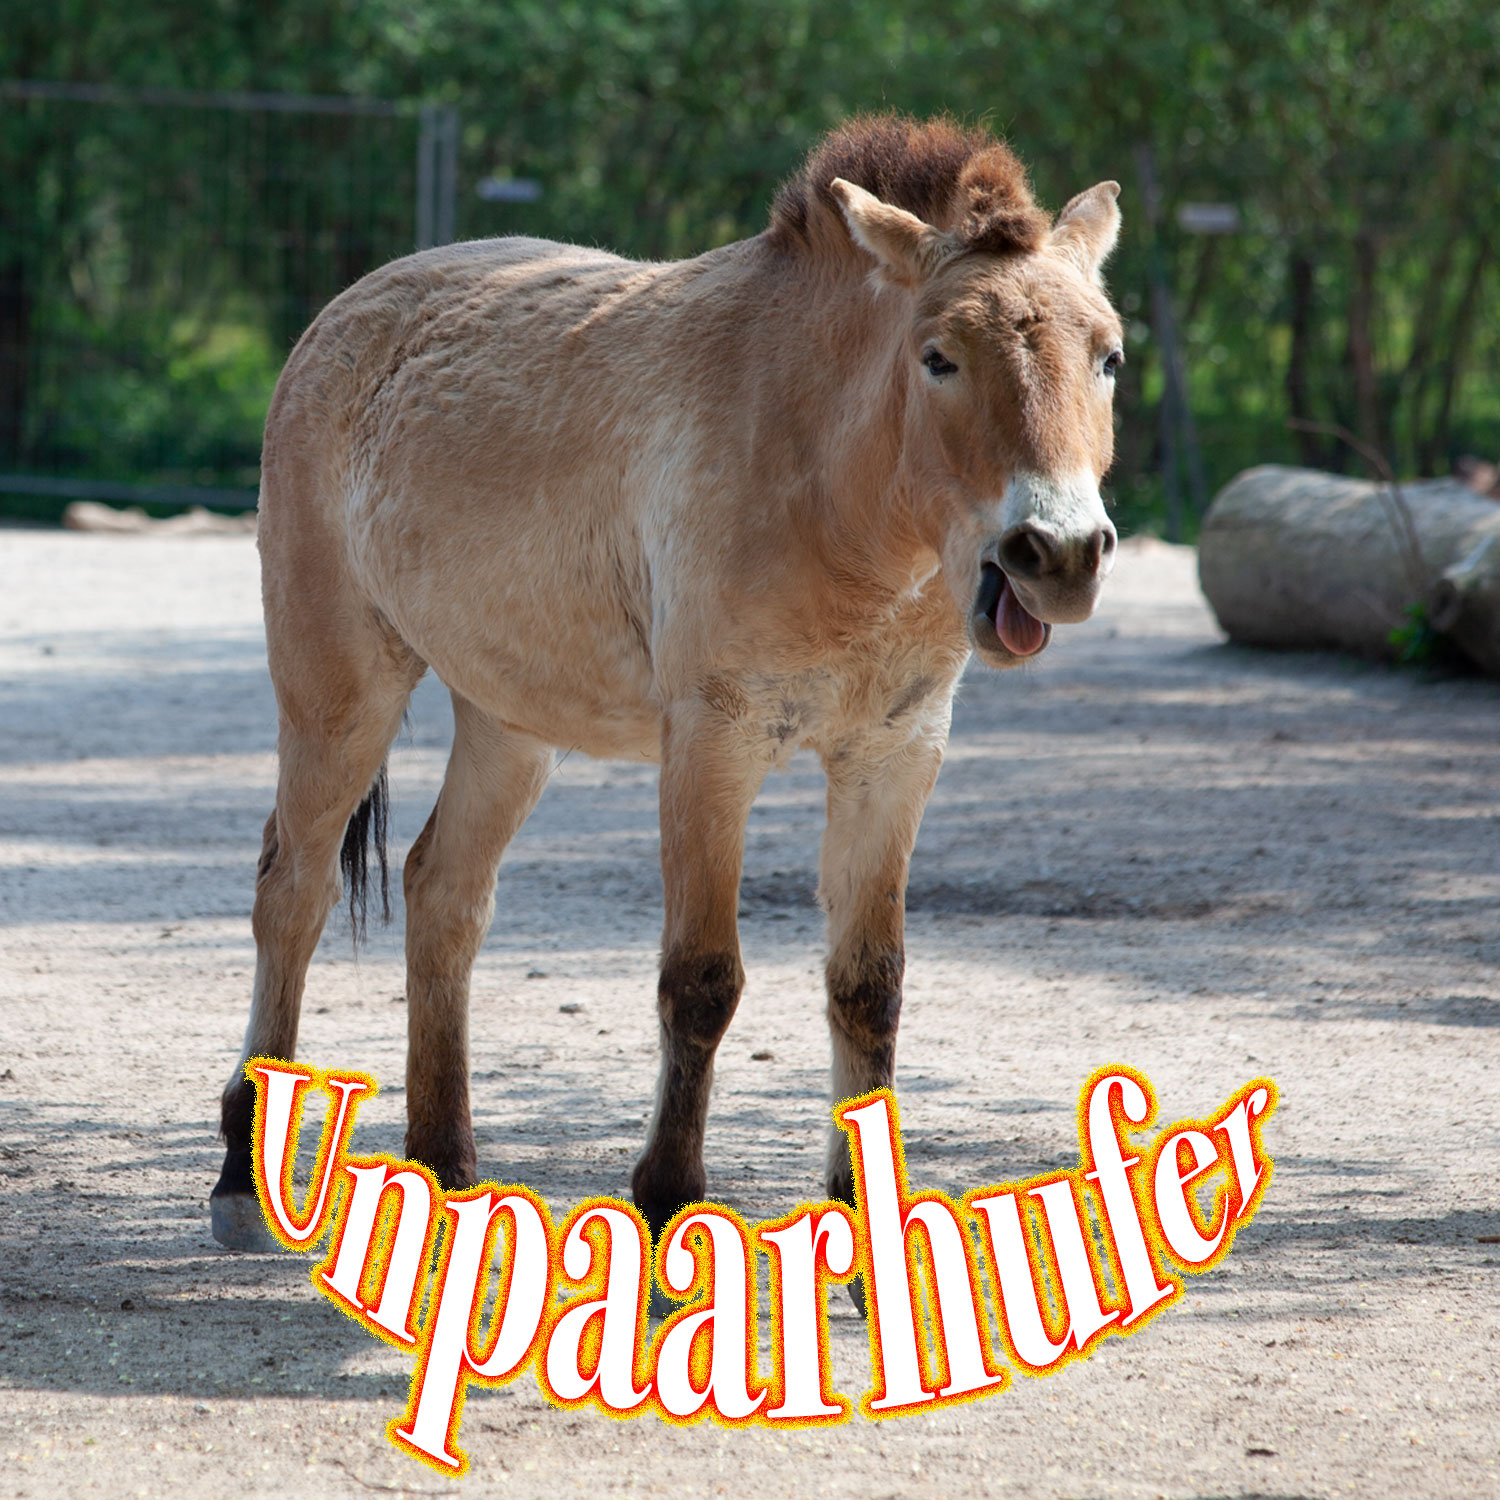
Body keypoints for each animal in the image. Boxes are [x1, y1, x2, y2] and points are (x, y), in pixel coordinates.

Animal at [210, 115, 1125, 1258]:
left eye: (1108, 358)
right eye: (939, 358)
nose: (1060, 552)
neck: (828, 475)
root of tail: (342, 314)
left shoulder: (894, 756)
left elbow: (868, 987)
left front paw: (863, 1230)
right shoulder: (712, 746)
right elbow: (701, 981)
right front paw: (666, 1204)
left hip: (508, 726)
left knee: (442, 893)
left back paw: (446, 1166)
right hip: (339, 691)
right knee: (291, 892)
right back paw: (242, 1173)